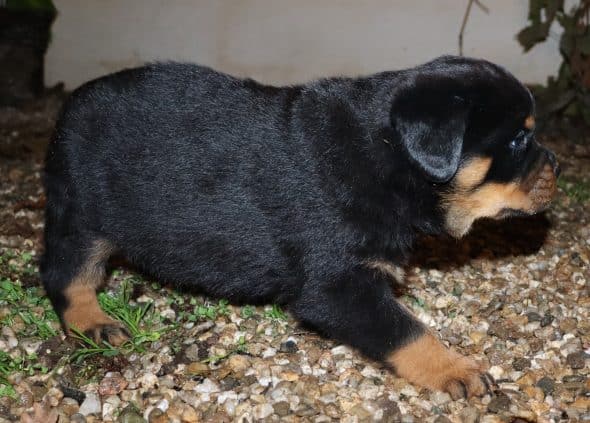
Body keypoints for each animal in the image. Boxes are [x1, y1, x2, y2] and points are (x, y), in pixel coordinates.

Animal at [40, 54, 560, 400]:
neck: (386, 158)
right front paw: (456, 369)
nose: (557, 164)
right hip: (82, 212)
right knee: (65, 272)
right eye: (519, 139)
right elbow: (406, 330)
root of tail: (69, 107)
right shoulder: (337, 285)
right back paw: (93, 323)